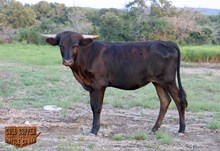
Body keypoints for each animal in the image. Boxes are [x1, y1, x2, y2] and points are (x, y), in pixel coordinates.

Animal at [46, 30, 187, 134]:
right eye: (61, 46)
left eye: (75, 46)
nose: (67, 61)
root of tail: (167, 43)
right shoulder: (91, 86)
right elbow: (92, 106)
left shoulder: (99, 84)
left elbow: (97, 107)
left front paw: (94, 130)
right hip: (157, 81)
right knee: (165, 101)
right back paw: (154, 129)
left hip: (168, 80)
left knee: (179, 100)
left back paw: (181, 129)